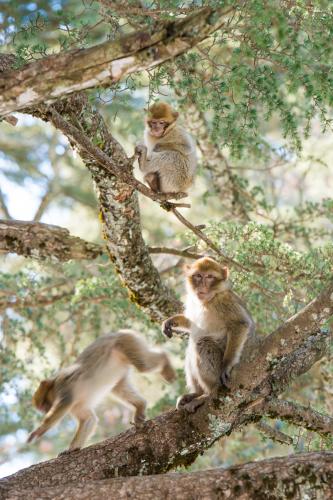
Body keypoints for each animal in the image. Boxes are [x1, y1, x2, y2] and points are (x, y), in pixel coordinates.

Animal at [27, 328, 175, 454]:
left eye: (45, 404)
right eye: (42, 407)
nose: (45, 410)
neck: (54, 384)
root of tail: (118, 332)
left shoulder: (63, 387)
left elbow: (63, 405)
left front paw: (40, 430)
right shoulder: (75, 406)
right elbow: (88, 419)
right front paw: (72, 448)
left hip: (126, 342)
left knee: (143, 365)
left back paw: (165, 360)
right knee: (118, 388)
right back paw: (140, 405)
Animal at [162, 256, 253, 412]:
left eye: (210, 277)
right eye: (198, 276)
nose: (202, 286)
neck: (208, 300)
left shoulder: (225, 302)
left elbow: (240, 324)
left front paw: (226, 365)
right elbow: (191, 323)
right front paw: (172, 321)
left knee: (202, 343)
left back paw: (208, 394)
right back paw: (196, 393)